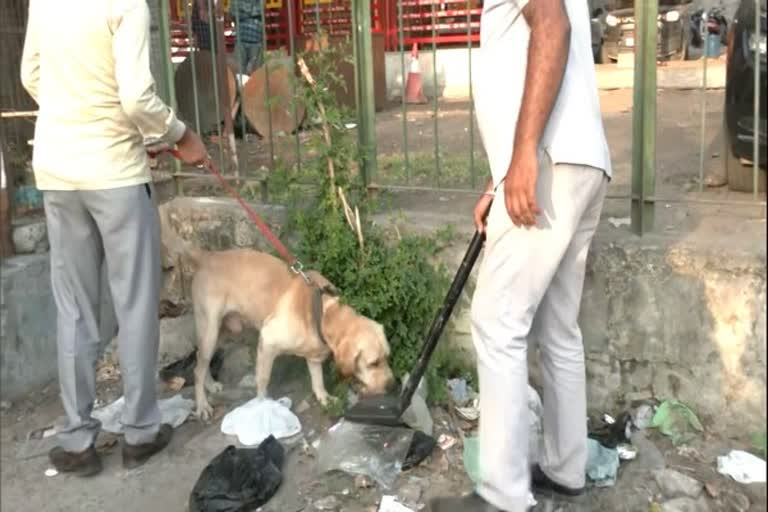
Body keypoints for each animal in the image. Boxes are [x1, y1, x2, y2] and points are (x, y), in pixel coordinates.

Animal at [180, 247, 396, 420]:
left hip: (220, 332)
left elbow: (317, 382)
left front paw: (324, 398)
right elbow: (262, 382)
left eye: (387, 357)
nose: (392, 385)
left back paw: (210, 385)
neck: (322, 313)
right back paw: (202, 405)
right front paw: (262, 409)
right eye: (373, 363)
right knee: (198, 369)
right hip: (210, 329)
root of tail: (206, 257)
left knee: (200, 359)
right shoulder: (267, 341)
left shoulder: (314, 356)